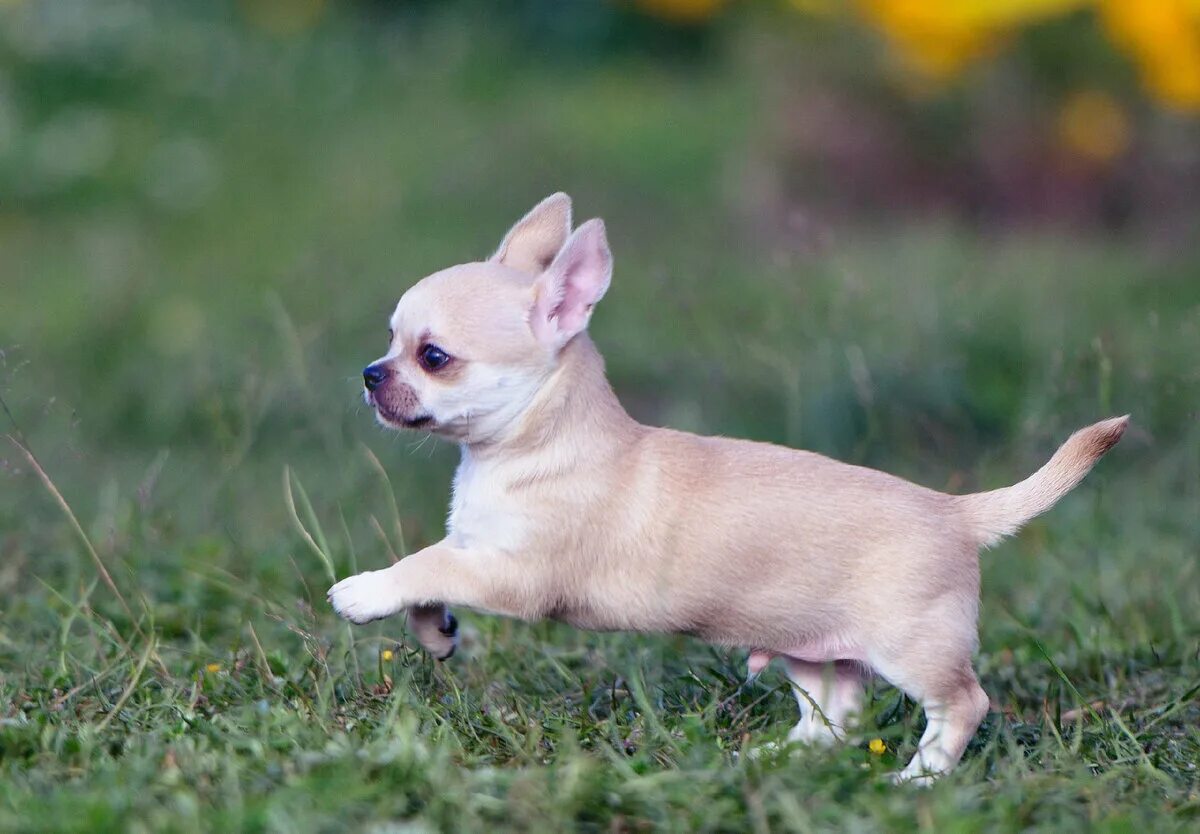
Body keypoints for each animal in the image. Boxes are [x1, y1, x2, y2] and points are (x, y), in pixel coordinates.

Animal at [328, 194, 1123, 782]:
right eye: (391, 340)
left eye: (433, 357)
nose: (368, 373)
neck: (528, 446)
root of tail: (957, 511)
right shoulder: (478, 551)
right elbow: (433, 571)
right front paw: (434, 632)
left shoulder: (513, 574)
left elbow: (426, 561)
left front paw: (364, 592)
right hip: (813, 650)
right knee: (837, 719)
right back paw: (770, 759)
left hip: (912, 648)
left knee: (963, 703)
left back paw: (920, 778)